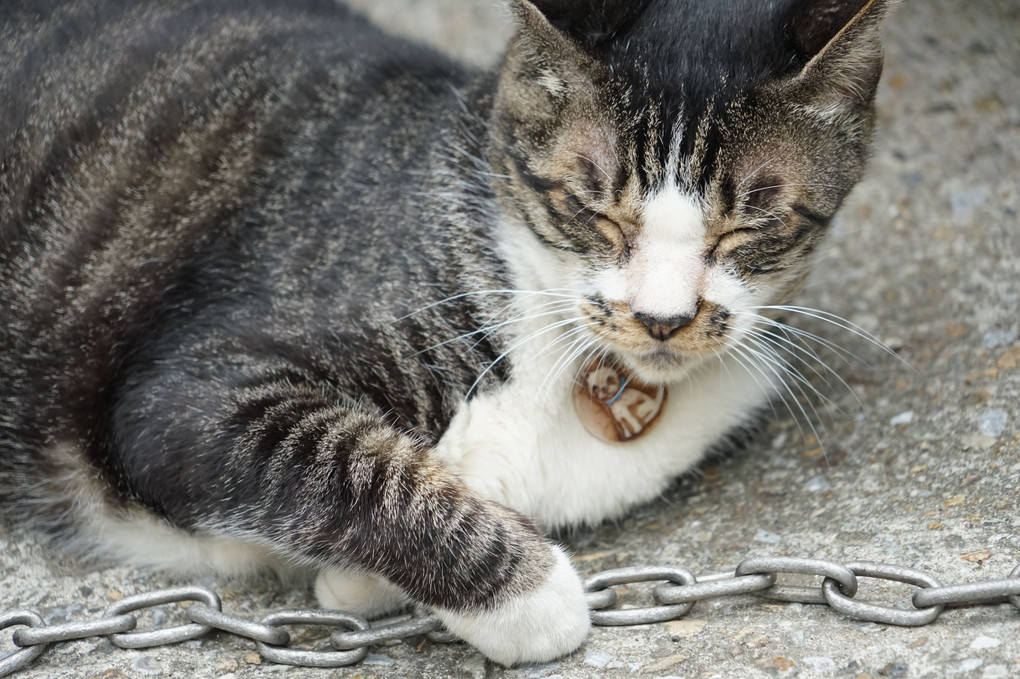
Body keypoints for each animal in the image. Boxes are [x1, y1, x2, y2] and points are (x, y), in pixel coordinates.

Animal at [0, 0, 889, 664]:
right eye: (592, 207)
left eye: (752, 225)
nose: (662, 317)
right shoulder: (190, 387)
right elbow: (350, 463)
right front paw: (534, 597)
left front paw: (357, 580)